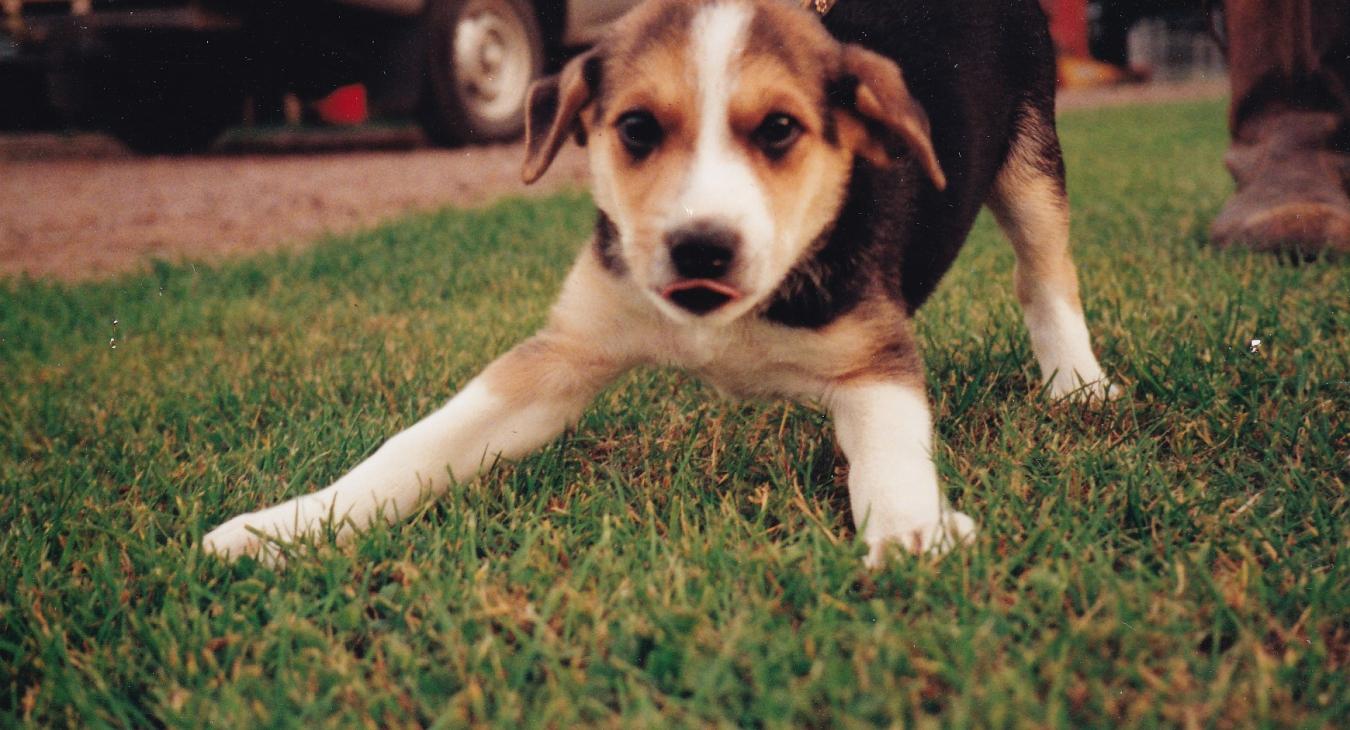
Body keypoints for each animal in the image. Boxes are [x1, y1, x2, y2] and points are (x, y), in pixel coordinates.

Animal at [205, 0, 1112, 564]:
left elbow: (890, 459)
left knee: (1045, 273)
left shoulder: (874, 358)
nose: (701, 248)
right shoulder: (562, 351)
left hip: (1031, 156)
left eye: (780, 130)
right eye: (637, 129)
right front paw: (287, 527)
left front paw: (914, 534)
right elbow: (414, 447)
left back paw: (1077, 384)